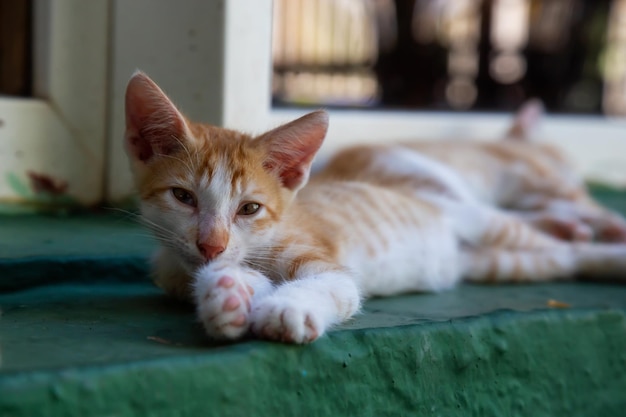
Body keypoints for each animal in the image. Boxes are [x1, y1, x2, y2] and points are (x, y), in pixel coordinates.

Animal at [124, 72, 620, 344]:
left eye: (249, 208)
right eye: (183, 197)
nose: (211, 244)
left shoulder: (330, 265)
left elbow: (330, 286)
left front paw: (287, 308)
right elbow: (234, 277)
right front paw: (226, 296)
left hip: (480, 220)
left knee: (544, 235)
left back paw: (597, 240)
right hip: (496, 263)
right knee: (561, 258)